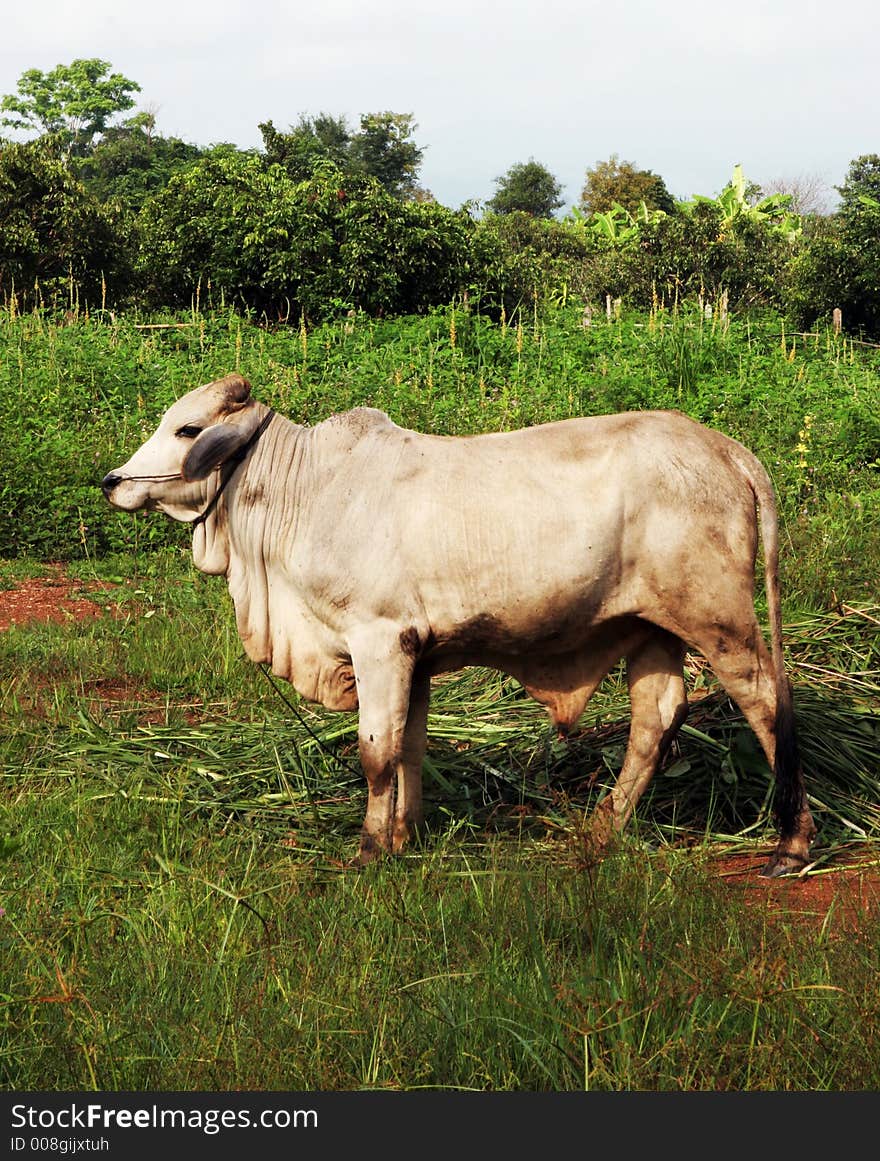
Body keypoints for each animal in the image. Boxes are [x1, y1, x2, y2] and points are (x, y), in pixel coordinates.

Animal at [103, 376, 821, 873]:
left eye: (187, 429)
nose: (112, 481)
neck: (305, 490)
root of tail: (728, 450)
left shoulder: (378, 641)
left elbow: (376, 751)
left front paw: (370, 850)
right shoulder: (414, 655)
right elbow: (409, 746)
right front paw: (405, 835)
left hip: (717, 617)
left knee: (767, 699)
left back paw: (791, 843)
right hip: (650, 627)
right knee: (659, 714)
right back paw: (602, 828)